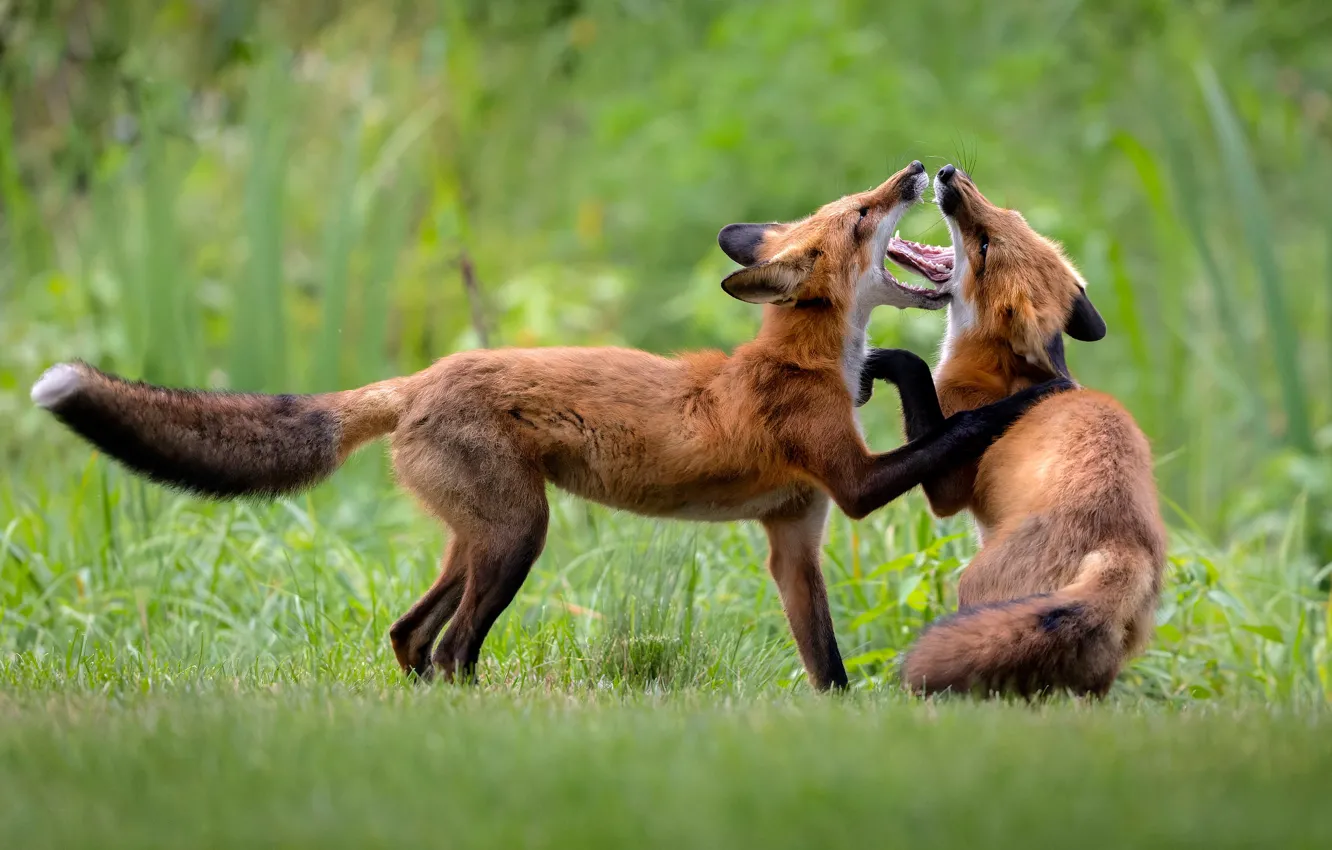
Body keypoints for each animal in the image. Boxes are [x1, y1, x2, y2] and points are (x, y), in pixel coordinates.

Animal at [28, 161, 1072, 691]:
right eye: (861, 215)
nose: (917, 170)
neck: (798, 360)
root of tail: (422, 375)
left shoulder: (795, 538)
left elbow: (827, 665)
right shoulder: (848, 487)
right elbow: (949, 434)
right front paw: (1026, 401)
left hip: (476, 538)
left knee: (409, 637)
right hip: (516, 538)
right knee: (452, 649)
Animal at [860, 163, 1166, 698]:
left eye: (984, 246)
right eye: (1013, 217)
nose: (947, 172)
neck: (997, 369)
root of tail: (1120, 547)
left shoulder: (948, 487)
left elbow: (914, 370)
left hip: (974, 591)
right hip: (1096, 662)